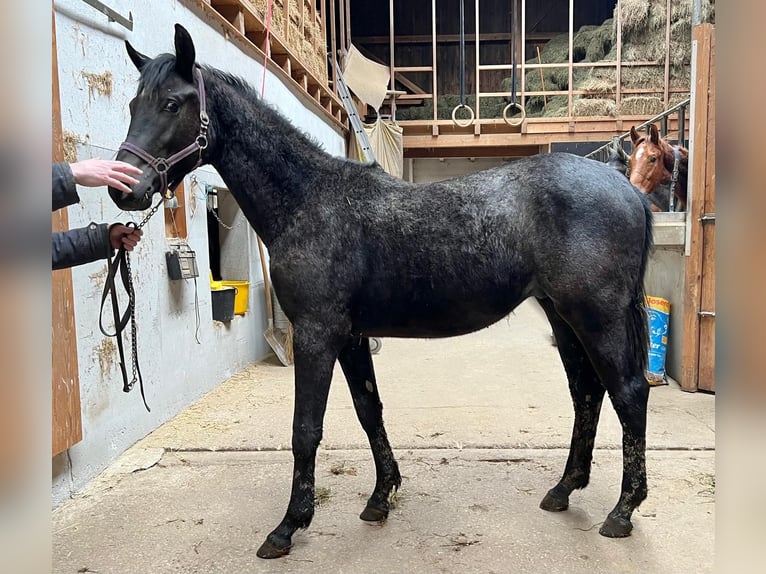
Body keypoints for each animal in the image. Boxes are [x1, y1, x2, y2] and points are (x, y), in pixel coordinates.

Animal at [111, 24, 656, 560]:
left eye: (172, 103)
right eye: (133, 104)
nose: (124, 189)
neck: (307, 200)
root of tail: (625, 188)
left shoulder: (317, 334)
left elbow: (305, 429)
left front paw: (288, 527)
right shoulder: (350, 336)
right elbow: (369, 410)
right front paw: (380, 497)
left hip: (597, 318)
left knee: (628, 393)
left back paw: (623, 511)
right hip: (563, 318)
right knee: (587, 394)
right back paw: (564, 490)